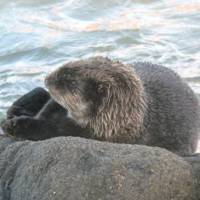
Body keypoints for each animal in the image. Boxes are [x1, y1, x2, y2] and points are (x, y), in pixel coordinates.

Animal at [0, 57, 199, 155]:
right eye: (66, 65)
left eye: (71, 83)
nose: (47, 79)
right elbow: (50, 106)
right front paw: (16, 116)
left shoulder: (94, 134)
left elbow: (50, 130)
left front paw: (15, 125)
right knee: (39, 93)